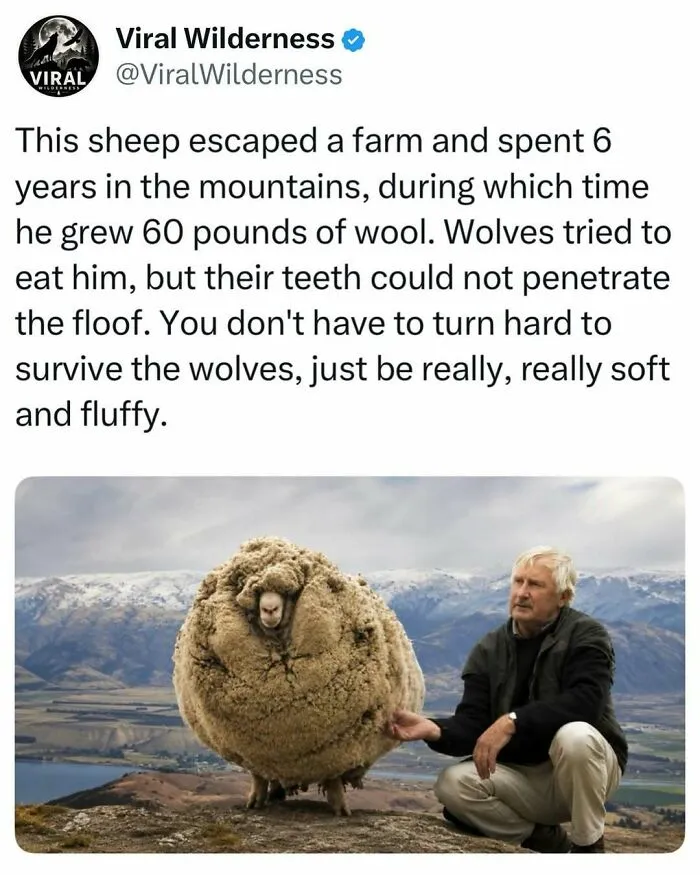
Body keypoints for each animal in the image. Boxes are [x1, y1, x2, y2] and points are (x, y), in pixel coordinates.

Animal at [172, 536, 425, 816]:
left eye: (290, 594)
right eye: (253, 593)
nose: (269, 609)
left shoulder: (339, 750)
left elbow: (333, 778)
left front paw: (340, 808)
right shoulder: (251, 751)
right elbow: (257, 776)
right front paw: (255, 800)